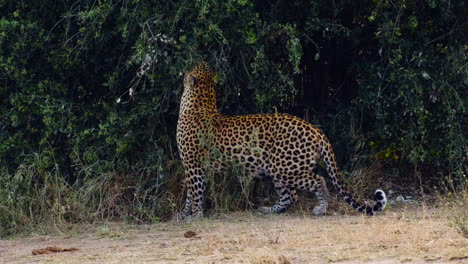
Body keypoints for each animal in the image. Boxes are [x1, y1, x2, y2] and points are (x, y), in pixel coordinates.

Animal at [176, 60, 388, 220]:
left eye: (191, 68)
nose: (192, 62)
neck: (201, 103)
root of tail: (316, 131)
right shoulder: (191, 167)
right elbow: (189, 194)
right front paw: (184, 214)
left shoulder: (193, 165)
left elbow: (195, 192)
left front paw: (195, 216)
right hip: (278, 169)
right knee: (290, 196)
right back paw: (268, 210)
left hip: (285, 167)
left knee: (317, 181)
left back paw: (321, 208)